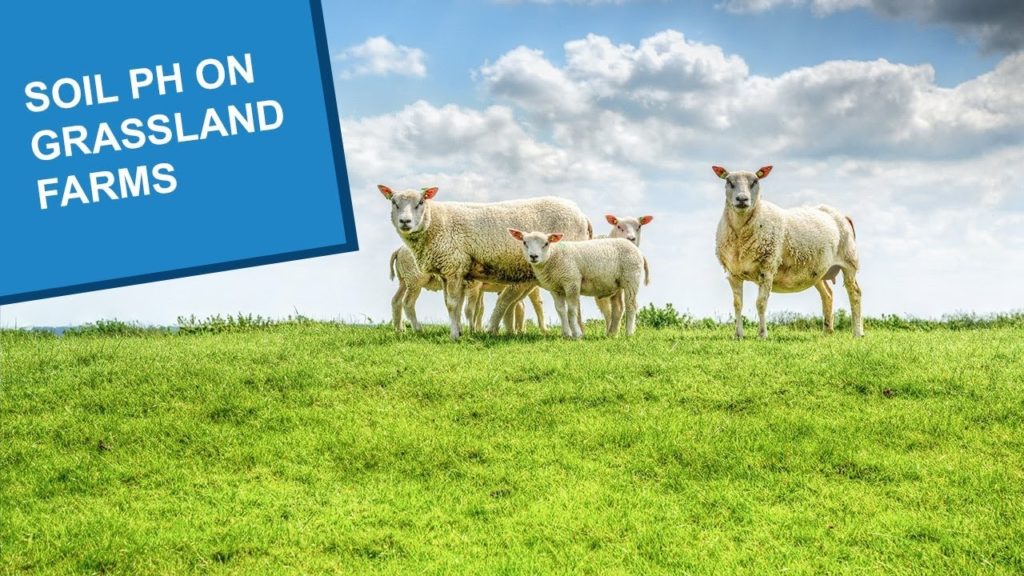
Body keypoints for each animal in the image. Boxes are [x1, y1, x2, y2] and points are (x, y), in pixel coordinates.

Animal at [380, 183, 593, 338]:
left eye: (420, 202)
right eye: (394, 203)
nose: (405, 222)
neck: (436, 222)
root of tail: (583, 216)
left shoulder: (454, 265)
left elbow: (454, 304)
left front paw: (455, 335)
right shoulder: (449, 272)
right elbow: (455, 305)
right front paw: (461, 331)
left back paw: (575, 332)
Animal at [505, 228, 647, 336]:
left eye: (546, 243)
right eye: (524, 242)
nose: (533, 256)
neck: (554, 257)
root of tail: (637, 250)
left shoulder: (571, 282)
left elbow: (572, 311)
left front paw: (576, 334)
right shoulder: (555, 288)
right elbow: (561, 310)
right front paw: (566, 334)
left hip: (631, 277)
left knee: (631, 305)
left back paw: (629, 333)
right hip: (617, 284)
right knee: (618, 307)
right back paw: (611, 334)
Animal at [712, 163, 864, 338]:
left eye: (755, 181)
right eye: (729, 182)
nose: (742, 199)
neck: (740, 234)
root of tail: (842, 216)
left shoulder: (768, 267)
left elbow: (761, 303)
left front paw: (762, 335)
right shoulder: (733, 272)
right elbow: (737, 304)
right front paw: (738, 335)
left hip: (849, 261)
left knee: (855, 294)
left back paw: (857, 333)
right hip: (817, 270)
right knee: (827, 295)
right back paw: (827, 331)